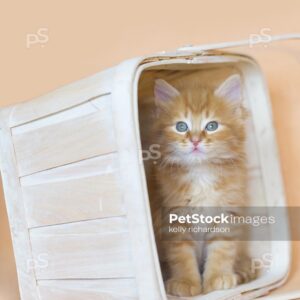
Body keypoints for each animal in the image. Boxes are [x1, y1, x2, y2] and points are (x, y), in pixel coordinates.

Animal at [149, 74, 254, 296]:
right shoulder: (173, 216)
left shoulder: (227, 212)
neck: (201, 173)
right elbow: (181, 254)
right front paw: (186, 282)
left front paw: (217, 278)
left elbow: (222, 249)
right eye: (181, 126)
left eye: (212, 126)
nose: (195, 140)